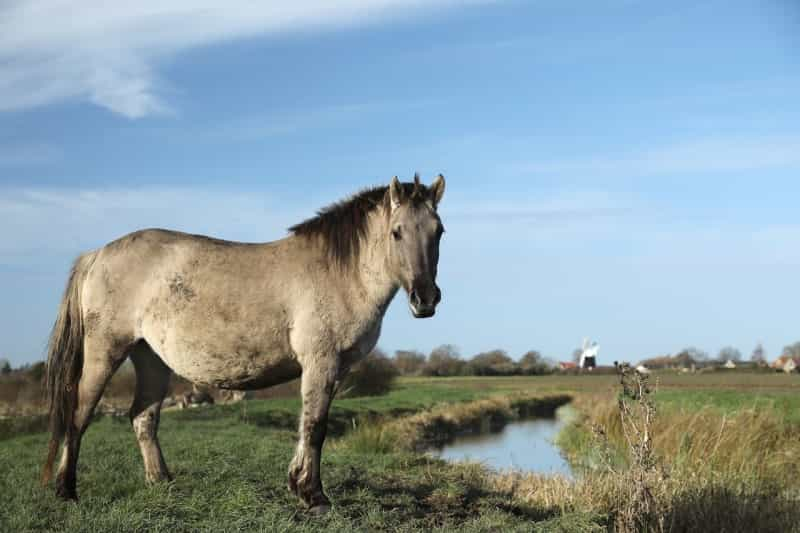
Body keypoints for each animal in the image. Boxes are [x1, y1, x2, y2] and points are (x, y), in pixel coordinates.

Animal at [40, 174, 446, 512]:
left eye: (438, 231)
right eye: (396, 232)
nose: (425, 299)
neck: (339, 272)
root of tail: (97, 255)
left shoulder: (334, 368)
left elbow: (307, 424)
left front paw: (297, 484)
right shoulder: (321, 362)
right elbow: (315, 426)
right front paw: (315, 496)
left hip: (151, 358)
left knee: (143, 417)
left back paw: (162, 482)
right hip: (105, 352)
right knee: (79, 415)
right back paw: (66, 490)